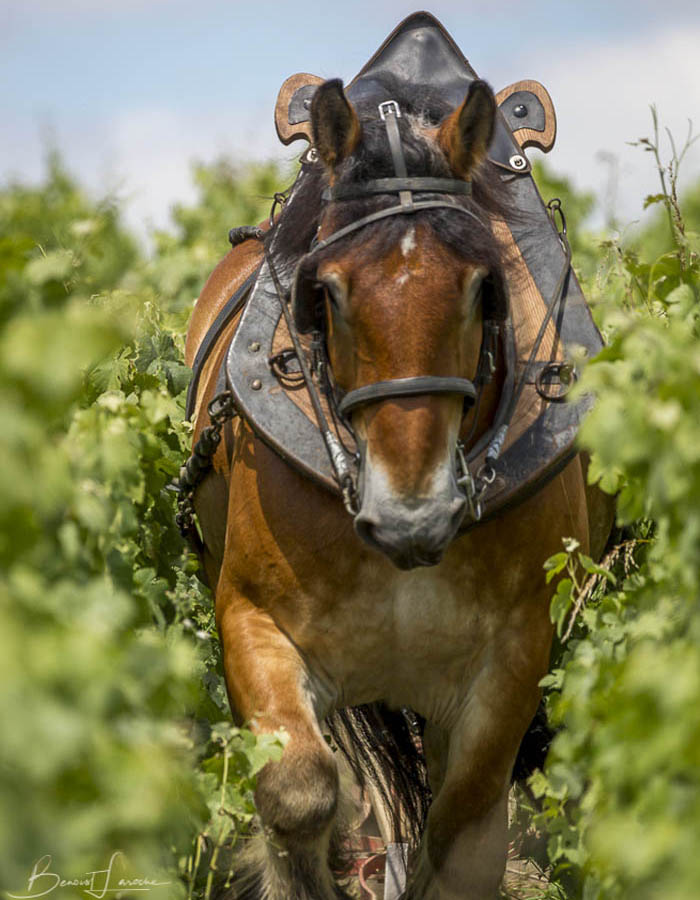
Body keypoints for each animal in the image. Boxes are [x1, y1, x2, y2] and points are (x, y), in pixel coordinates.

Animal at [183, 79, 608, 900]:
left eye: (483, 289)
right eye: (326, 291)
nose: (412, 514)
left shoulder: (514, 658)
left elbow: (461, 828)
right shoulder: (251, 619)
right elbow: (299, 787)